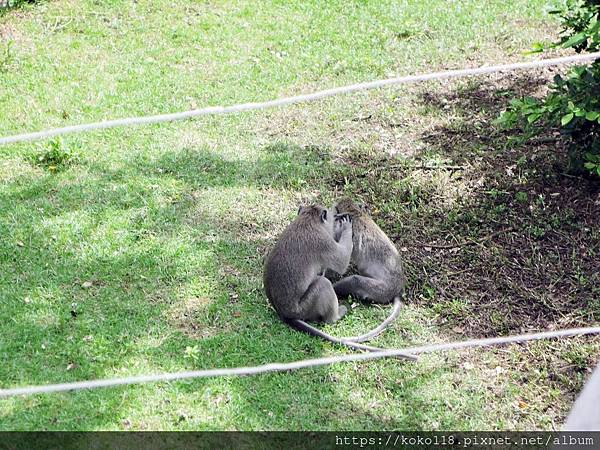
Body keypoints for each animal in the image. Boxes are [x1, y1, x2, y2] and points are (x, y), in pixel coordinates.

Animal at [262, 204, 418, 358]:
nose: (336, 217)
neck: (307, 220)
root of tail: (284, 312)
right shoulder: (325, 242)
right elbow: (341, 262)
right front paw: (346, 227)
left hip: (382, 289)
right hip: (304, 309)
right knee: (327, 283)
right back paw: (336, 313)